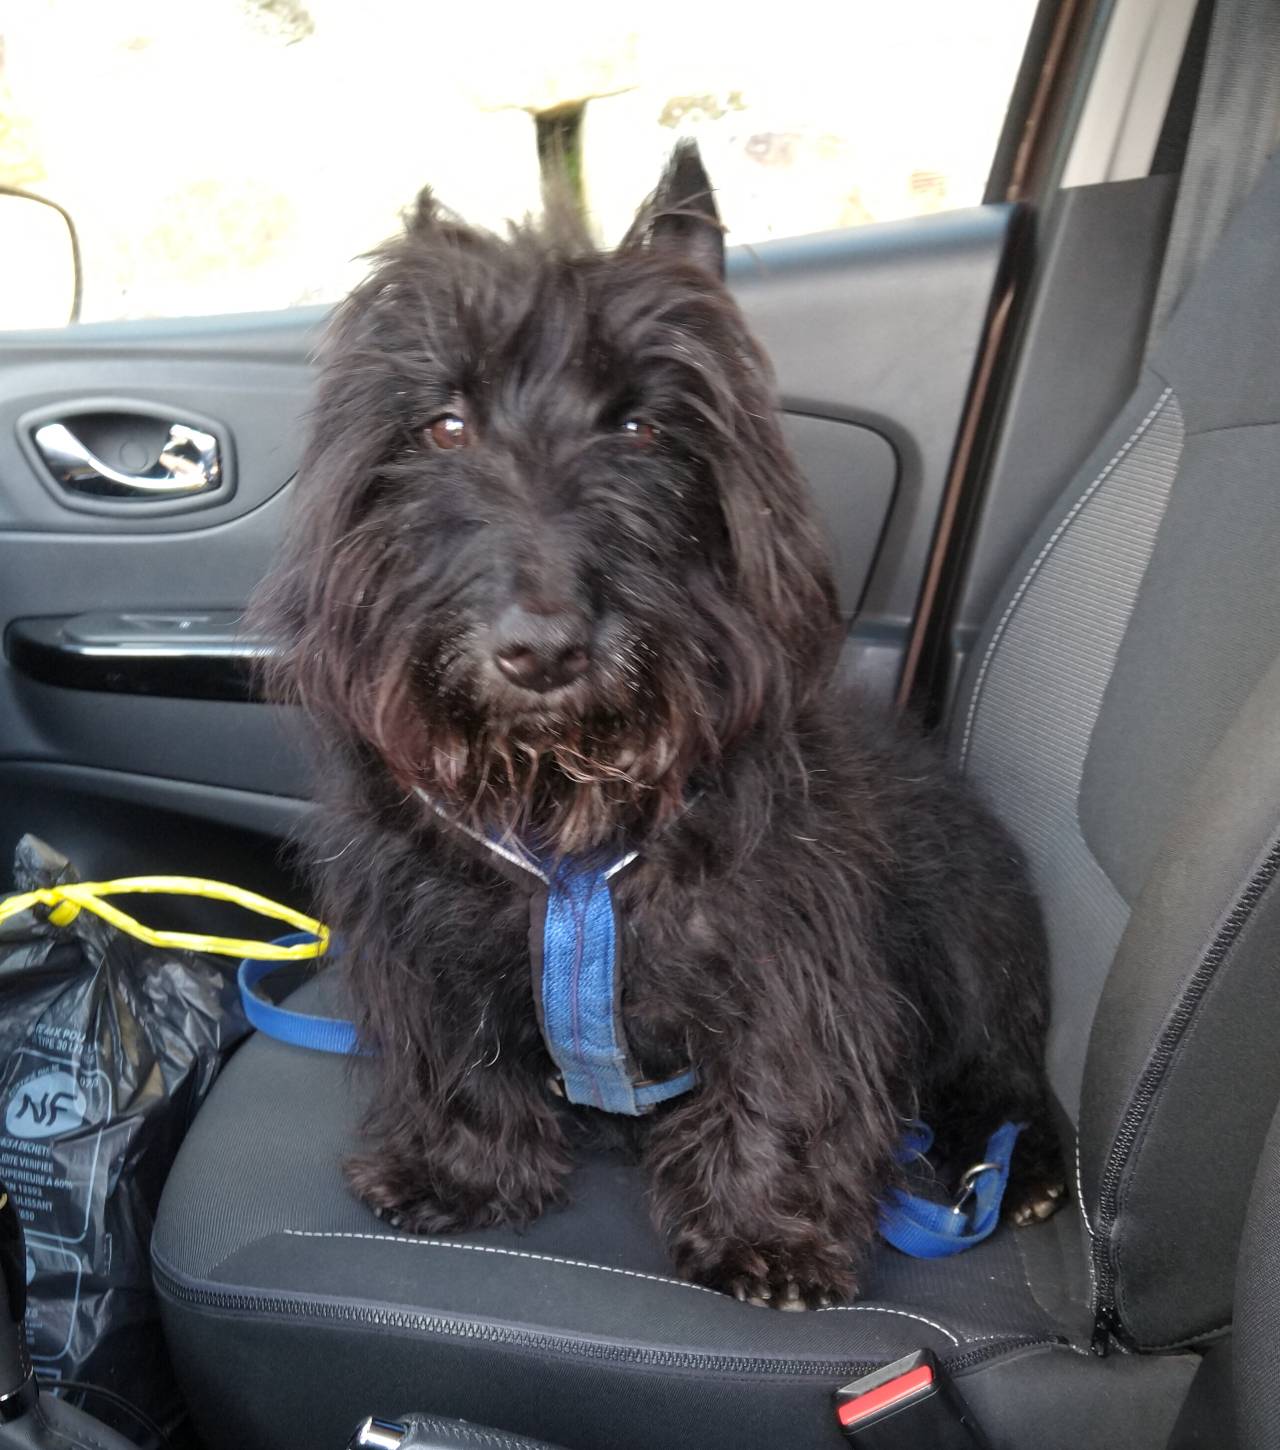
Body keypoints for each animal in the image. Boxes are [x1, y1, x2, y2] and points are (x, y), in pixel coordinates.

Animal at [255, 144, 1055, 1305]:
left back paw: (1019, 1161)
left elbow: (784, 1076)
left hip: (968, 925)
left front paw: (765, 1229)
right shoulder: (425, 934)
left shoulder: (790, 944)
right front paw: (461, 1170)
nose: (540, 647)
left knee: (1001, 1061)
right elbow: (459, 1058)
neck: (565, 797)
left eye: (639, 425)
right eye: (445, 422)